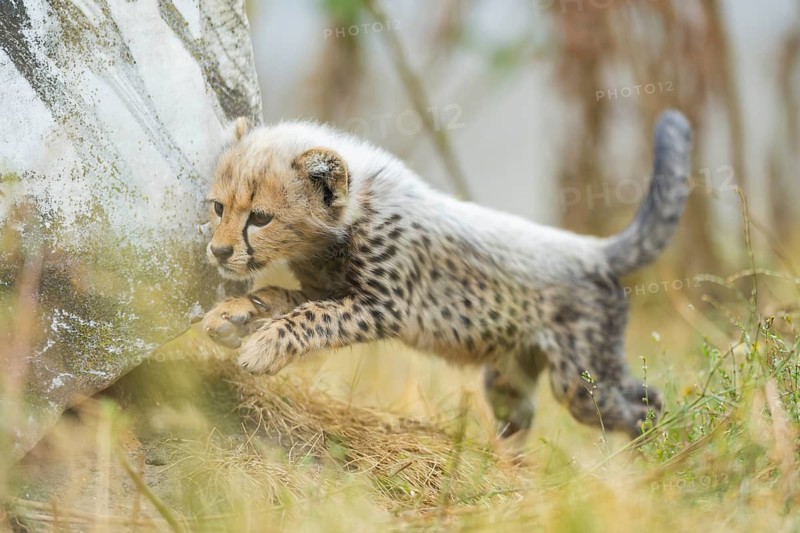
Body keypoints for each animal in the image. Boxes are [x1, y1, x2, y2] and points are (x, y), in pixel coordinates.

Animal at [201, 111, 692, 439]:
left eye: (261, 218)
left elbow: (312, 318)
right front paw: (233, 314)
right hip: (510, 376)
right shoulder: (322, 287)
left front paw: (264, 346)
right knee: (521, 420)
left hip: (582, 378)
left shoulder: (382, 306)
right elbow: (278, 296)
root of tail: (593, 248)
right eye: (219, 207)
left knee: (646, 404)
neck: (351, 217)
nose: (219, 251)